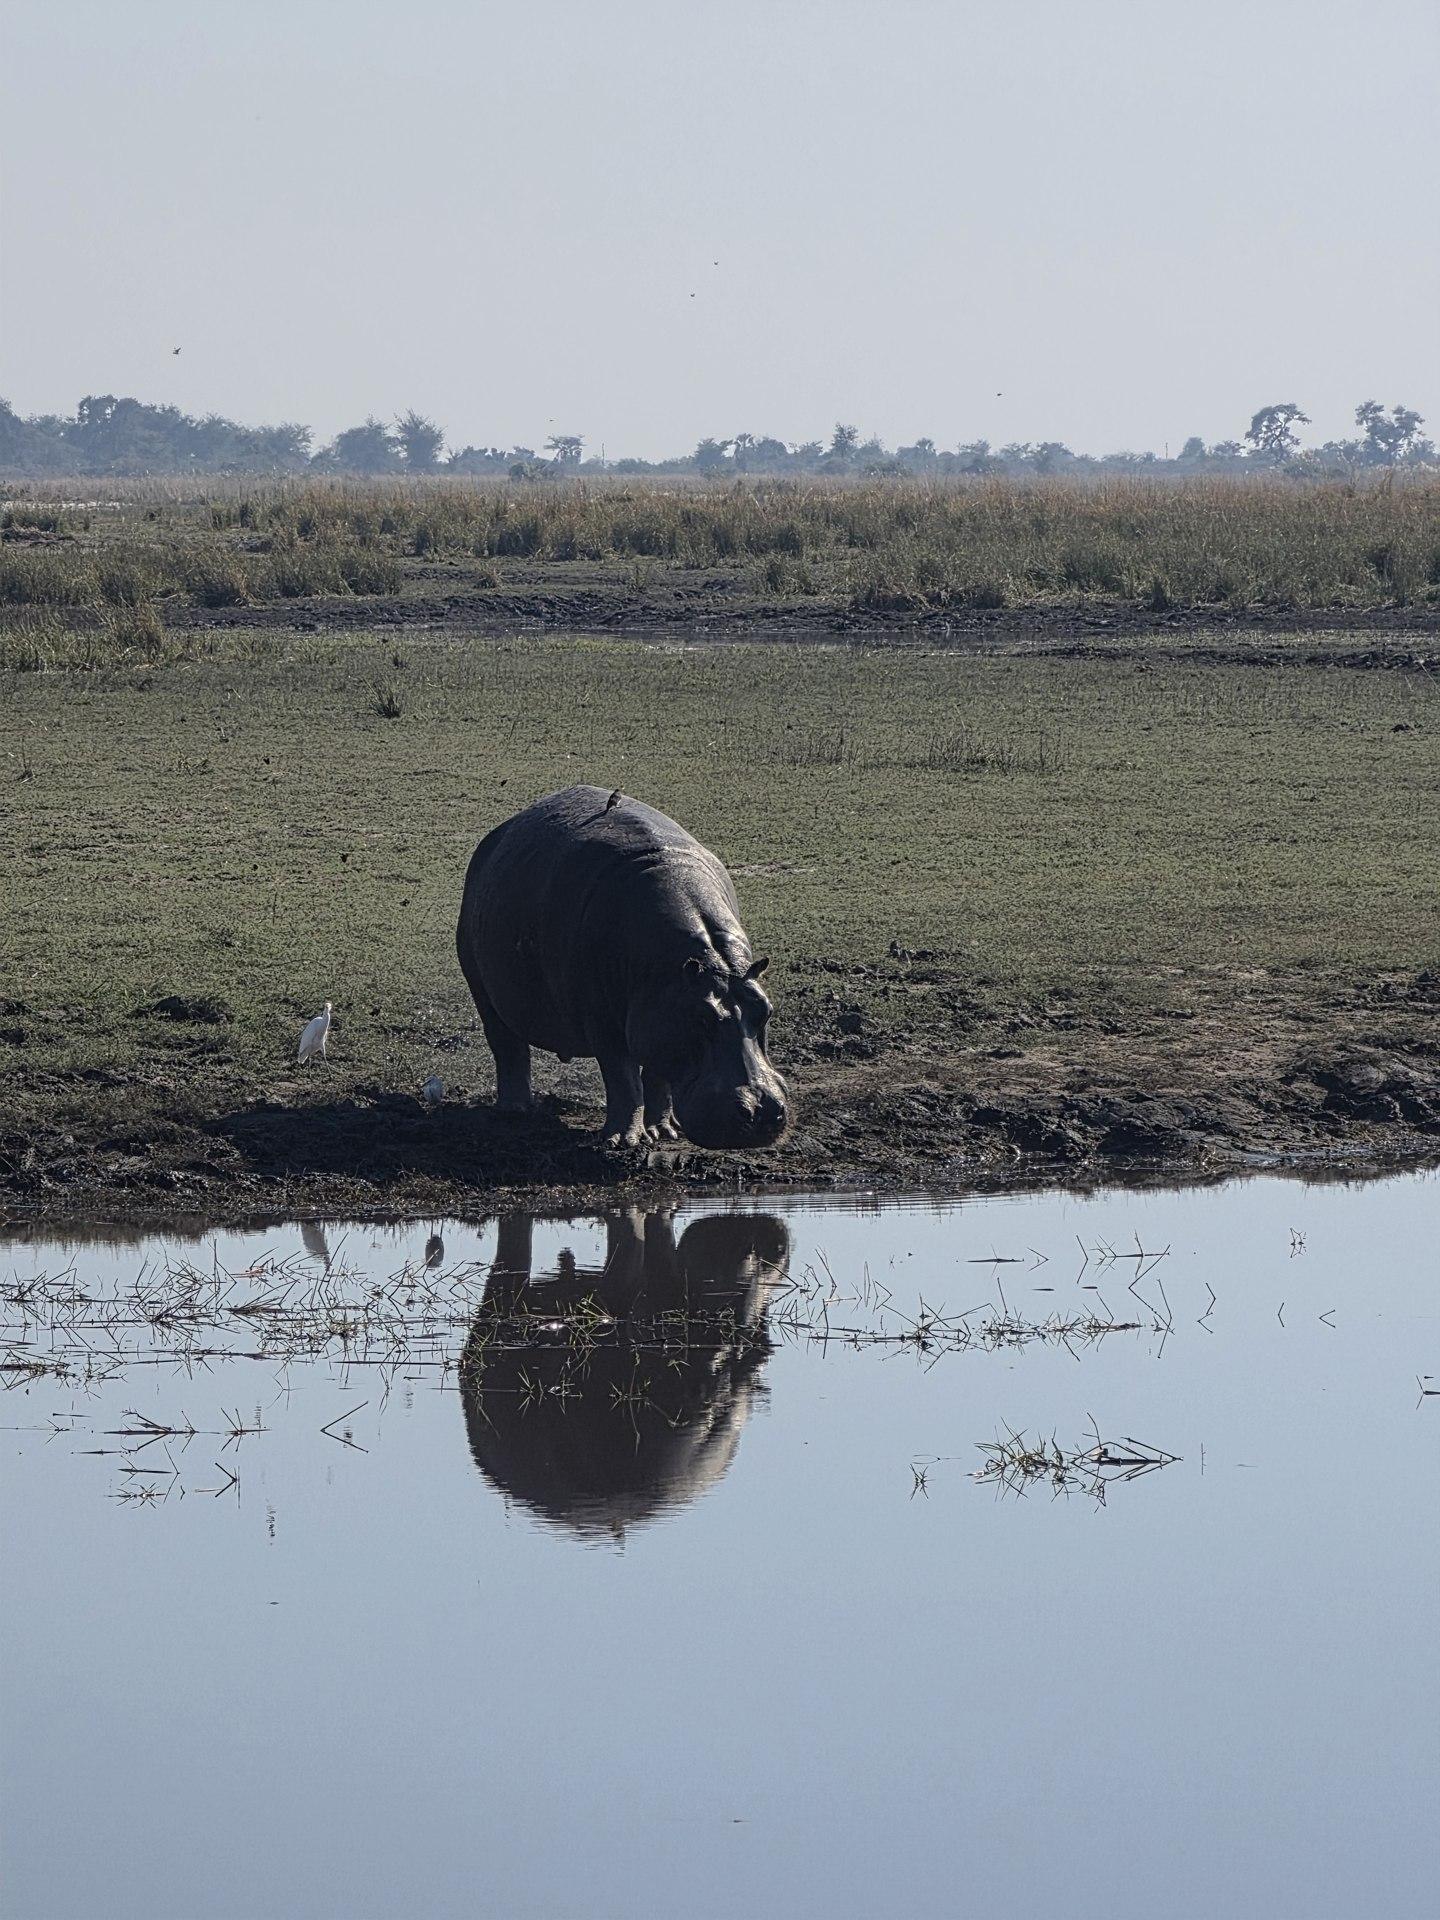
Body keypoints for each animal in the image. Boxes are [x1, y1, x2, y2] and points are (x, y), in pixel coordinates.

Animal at [455, 785, 788, 1148]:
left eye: (766, 1010)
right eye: (702, 1018)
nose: (761, 1112)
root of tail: (498, 834)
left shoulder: (664, 1016)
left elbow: (657, 1076)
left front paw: (664, 1131)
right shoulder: (606, 1019)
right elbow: (622, 1077)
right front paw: (622, 1141)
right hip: (482, 987)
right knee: (507, 1047)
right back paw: (515, 1110)